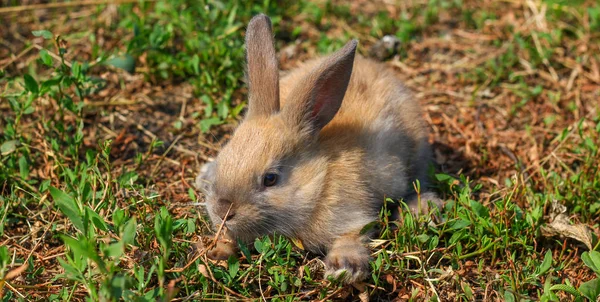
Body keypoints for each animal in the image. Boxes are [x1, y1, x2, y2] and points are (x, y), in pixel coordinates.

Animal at [197, 13, 440, 284]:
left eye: (270, 179)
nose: (222, 212)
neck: (318, 181)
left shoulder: (352, 215)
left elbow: (353, 236)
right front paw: (215, 252)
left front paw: (344, 268)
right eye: (223, 156)